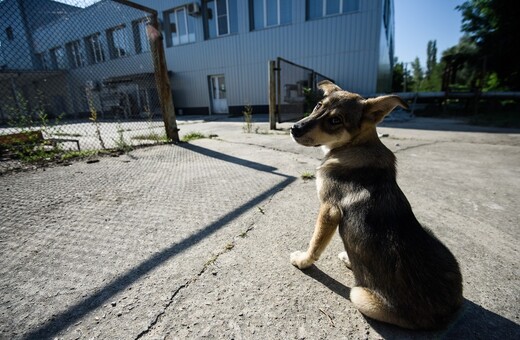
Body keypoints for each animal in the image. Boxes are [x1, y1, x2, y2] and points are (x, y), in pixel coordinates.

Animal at [288, 81, 464, 330]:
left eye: (336, 120)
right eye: (318, 105)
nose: (294, 128)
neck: (354, 146)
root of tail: (446, 315)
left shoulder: (329, 209)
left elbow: (315, 244)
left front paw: (302, 260)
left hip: (359, 296)